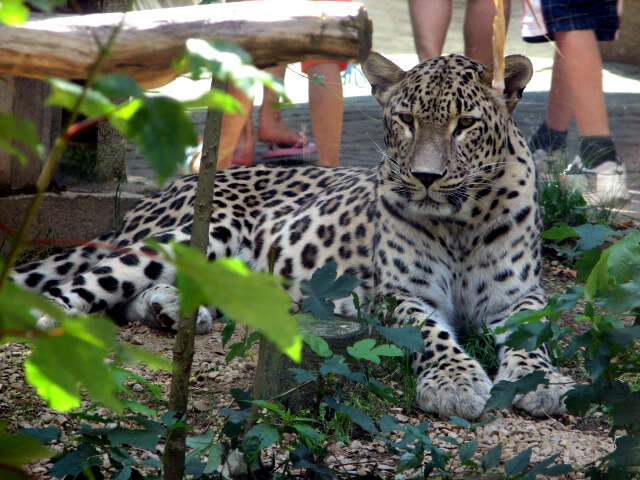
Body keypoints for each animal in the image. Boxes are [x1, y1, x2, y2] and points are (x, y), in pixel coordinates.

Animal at [11, 51, 568, 420]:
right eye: (407, 120)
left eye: (465, 124)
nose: (426, 178)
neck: (460, 223)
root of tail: (170, 186)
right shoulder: (401, 295)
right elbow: (430, 333)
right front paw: (455, 383)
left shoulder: (519, 294)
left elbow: (535, 332)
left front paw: (544, 383)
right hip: (201, 228)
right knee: (79, 284)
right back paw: (51, 320)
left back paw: (172, 310)